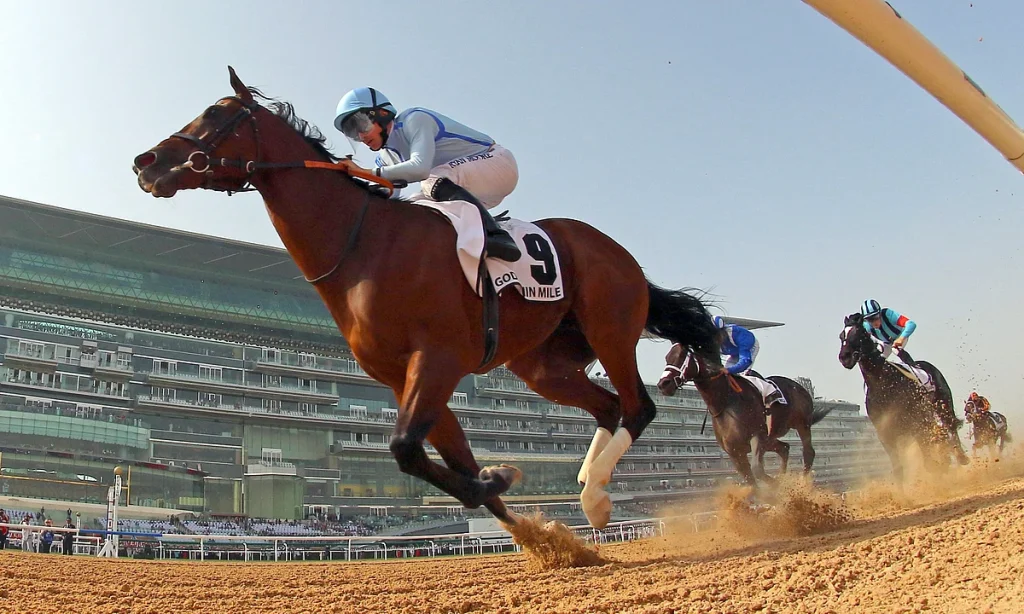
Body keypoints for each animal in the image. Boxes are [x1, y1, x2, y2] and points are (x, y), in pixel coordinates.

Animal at [132, 67, 719, 530]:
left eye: (214, 112)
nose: (145, 161)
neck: (364, 244)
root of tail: (616, 251)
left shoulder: (437, 360)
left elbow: (406, 450)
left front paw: (500, 479)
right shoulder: (404, 375)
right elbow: (452, 462)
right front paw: (519, 511)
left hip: (610, 325)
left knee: (639, 407)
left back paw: (595, 494)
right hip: (543, 364)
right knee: (609, 407)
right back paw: (589, 489)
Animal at [656, 343, 811, 486]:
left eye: (681, 355)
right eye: (667, 357)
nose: (663, 384)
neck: (725, 403)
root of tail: (799, 386)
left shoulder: (757, 437)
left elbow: (757, 470)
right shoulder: (734, 451)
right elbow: (751, 482)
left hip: (802, 424)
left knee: (808, 453)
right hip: (770, 439)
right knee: (784, 448)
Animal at [837, 313, 968, 482]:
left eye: (859, 333)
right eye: (841, 336)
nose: (844, 357)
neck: (882, 384)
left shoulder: (916, 425)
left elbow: (929, 462)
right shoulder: (886, 433)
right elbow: (899, 469)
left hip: (943, 405)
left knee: (950, 425)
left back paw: (960, 457)